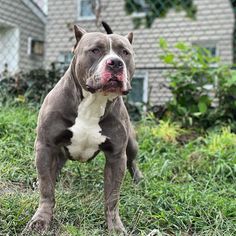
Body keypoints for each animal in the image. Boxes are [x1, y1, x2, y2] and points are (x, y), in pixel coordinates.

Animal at [26, 23, 144, 233]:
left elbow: (112, 198)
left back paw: (138, 179)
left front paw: (115, 226)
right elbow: (47, 190)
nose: (116, 63)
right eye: (95, 50)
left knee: (132, 161)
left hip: (131, 144)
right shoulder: (45, 146)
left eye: (125, 52)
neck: (93, 101)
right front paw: (41, 219)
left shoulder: (116, 156)